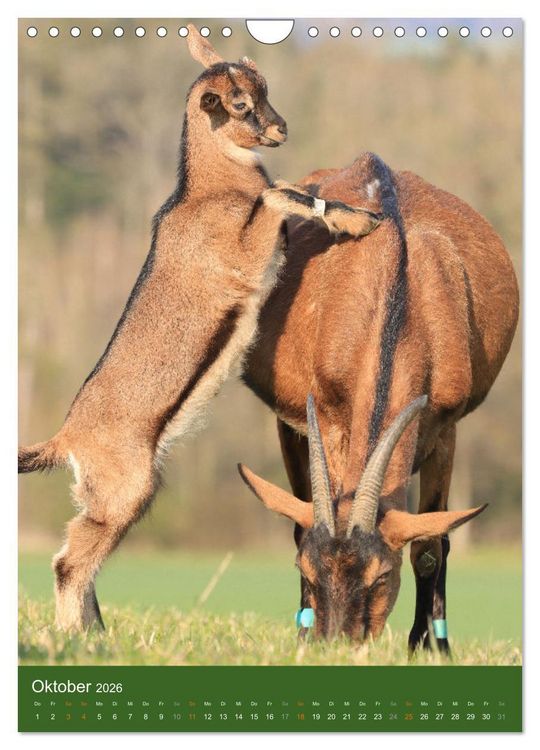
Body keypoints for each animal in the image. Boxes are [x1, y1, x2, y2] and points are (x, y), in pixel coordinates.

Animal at [18, 27, 379, 632]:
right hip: (125, 490)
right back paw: (76, 636)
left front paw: (356, 216)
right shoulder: (246, 260)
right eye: (238, 104)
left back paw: (96, 635)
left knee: (82, 558)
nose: (281, 128)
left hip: (111, 497)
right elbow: (279, 191)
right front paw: (356, 218)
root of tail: (66, 439)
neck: (209, 192)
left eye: (263, 90)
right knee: (69, 562)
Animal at [239, 151, 519, 650]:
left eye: (382, 576)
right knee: (297, 517)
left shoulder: (444, 426)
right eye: (305, 570)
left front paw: (429, 645)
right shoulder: (330, 418)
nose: (338, 642)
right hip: (290, 427)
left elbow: (431, 544)